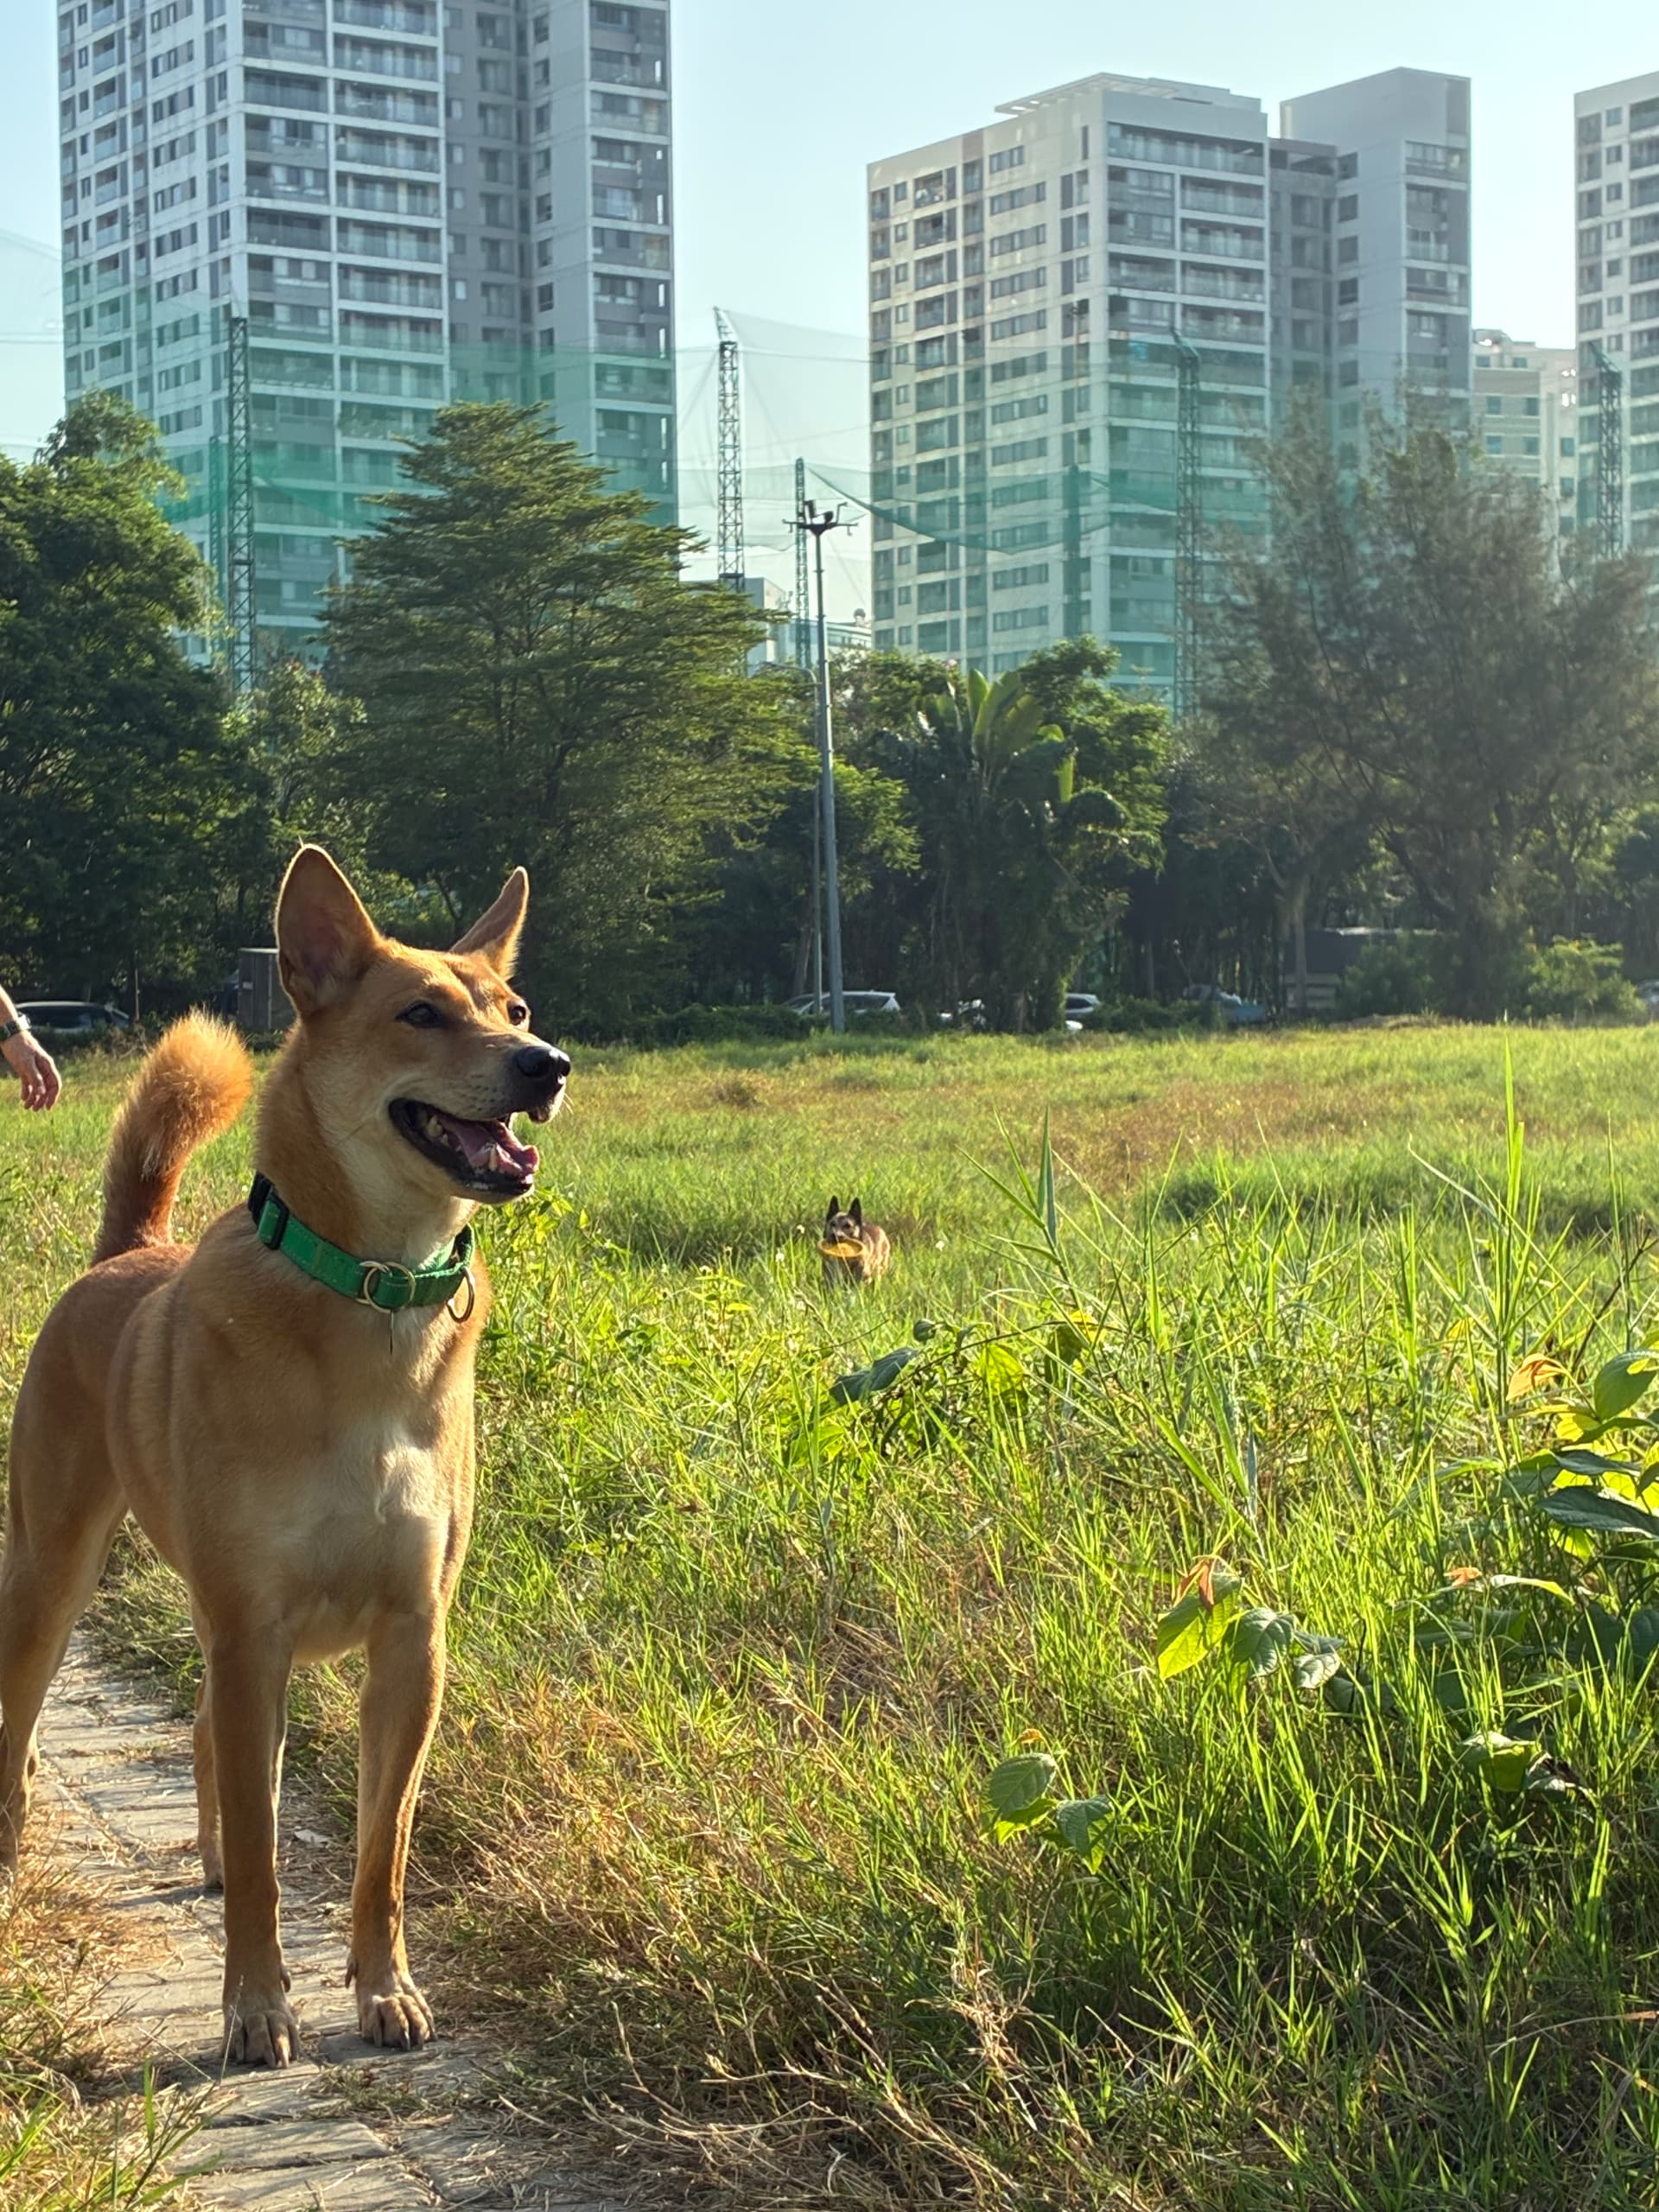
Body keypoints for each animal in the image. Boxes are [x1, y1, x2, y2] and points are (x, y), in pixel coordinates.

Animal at [0, 847, 568, 2067]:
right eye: (420, 1013)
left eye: (514, 1008)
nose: (547, 1064)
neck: (368, 1294)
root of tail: (128, 1252)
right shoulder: (252, 1628)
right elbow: (271, 1854)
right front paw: (257, 2006)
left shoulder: (411, 1637)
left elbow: (379, 1850)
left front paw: (383, 1987)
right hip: (53, 1575)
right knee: (22, 1732)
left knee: (208, 1743)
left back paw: (210, 1864)